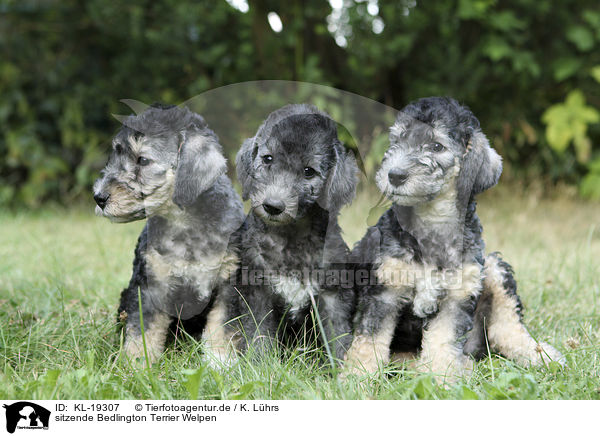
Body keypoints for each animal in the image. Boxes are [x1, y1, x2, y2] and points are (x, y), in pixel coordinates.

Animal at [94, 104, 244, 362]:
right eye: (115, 155)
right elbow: (142, 329)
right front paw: (137, 363)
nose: (99, 197)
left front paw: (220, 361)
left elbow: (221, 327)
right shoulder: (150, 285)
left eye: (142, 160)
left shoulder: (227, 286)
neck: (185, 226)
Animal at [203, 104, 360, 362]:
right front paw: (261, 366)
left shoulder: (333, 294)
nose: (273, 206)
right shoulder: (257, 292)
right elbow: (259, 336)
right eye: (268, 159)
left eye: (308, 171)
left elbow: (338, 336)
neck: (290, 237)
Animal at [344, 97, 564, 380]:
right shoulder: (385, 291)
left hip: (492, 268)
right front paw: (356, 379)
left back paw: (542, 356)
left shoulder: (456, 299)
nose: (394, 175)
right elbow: (369, 342)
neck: (432, 221)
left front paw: (441, 380)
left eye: (437, 146)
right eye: (397, 140)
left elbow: (441, 344)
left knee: (506, 328)